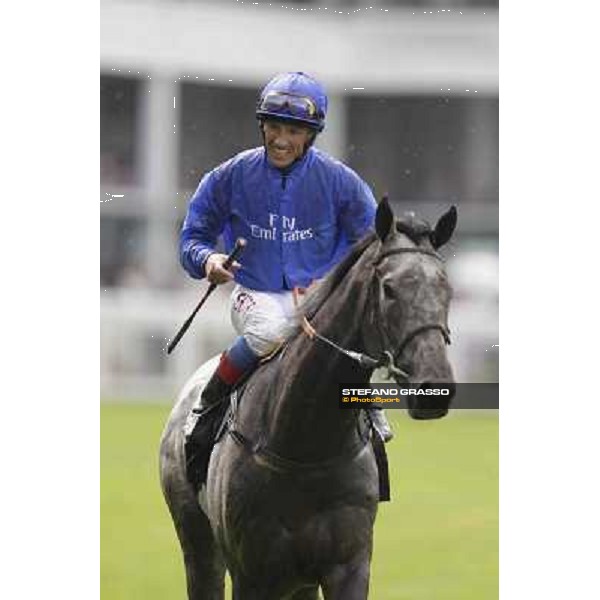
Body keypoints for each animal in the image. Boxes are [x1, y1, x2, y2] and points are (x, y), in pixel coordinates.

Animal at [159, 200, 454, 600]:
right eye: (389, 288)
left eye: (446, 287)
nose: (434, 387)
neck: (305, 446)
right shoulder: (251, 573)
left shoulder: (347, 566)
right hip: (198, 542)